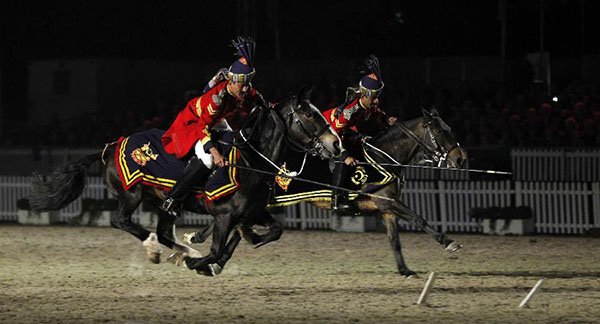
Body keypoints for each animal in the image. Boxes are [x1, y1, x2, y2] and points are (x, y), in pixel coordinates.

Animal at [28, 85, 340, 274]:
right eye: (308, 114)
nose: (335, 143)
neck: (250, 161)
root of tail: (113, 145)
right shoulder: (225, 215)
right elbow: (215, 250)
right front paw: (201, 263)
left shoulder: (252, 212)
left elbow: (274, 231)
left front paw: (241, 240)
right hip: (131, 195)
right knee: (122, 221)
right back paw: (158, 248)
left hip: (164, 203)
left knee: (166, 231)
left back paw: (183, 250)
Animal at [182, 107, 468, 278]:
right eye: (440, 130)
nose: (460, 158)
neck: (383, 157)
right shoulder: (388, 202)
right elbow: (420, 219)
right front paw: (449, 242)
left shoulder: (386, 209)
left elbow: (394, 241)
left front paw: (404, 269)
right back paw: (204, 248)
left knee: (237, 229)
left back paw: (210, 255)